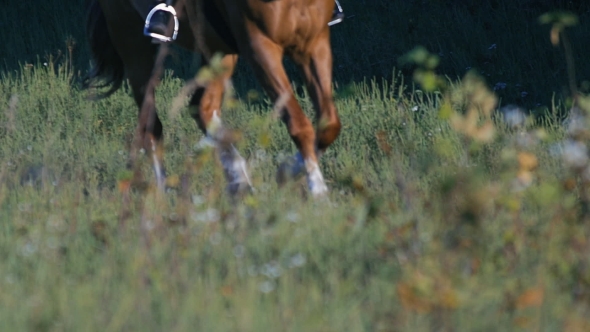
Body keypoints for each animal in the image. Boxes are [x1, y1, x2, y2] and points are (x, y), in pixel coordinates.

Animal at [85, 0, 340, 197]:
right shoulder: (260, 47)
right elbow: (299, 125)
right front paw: (318, 192)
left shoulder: (315, 42)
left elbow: (329, 124)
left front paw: (287, 171)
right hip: (132, 43)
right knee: (151, 125)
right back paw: (162, 196)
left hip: (219, 50)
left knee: (202, 107)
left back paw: (239, 181)